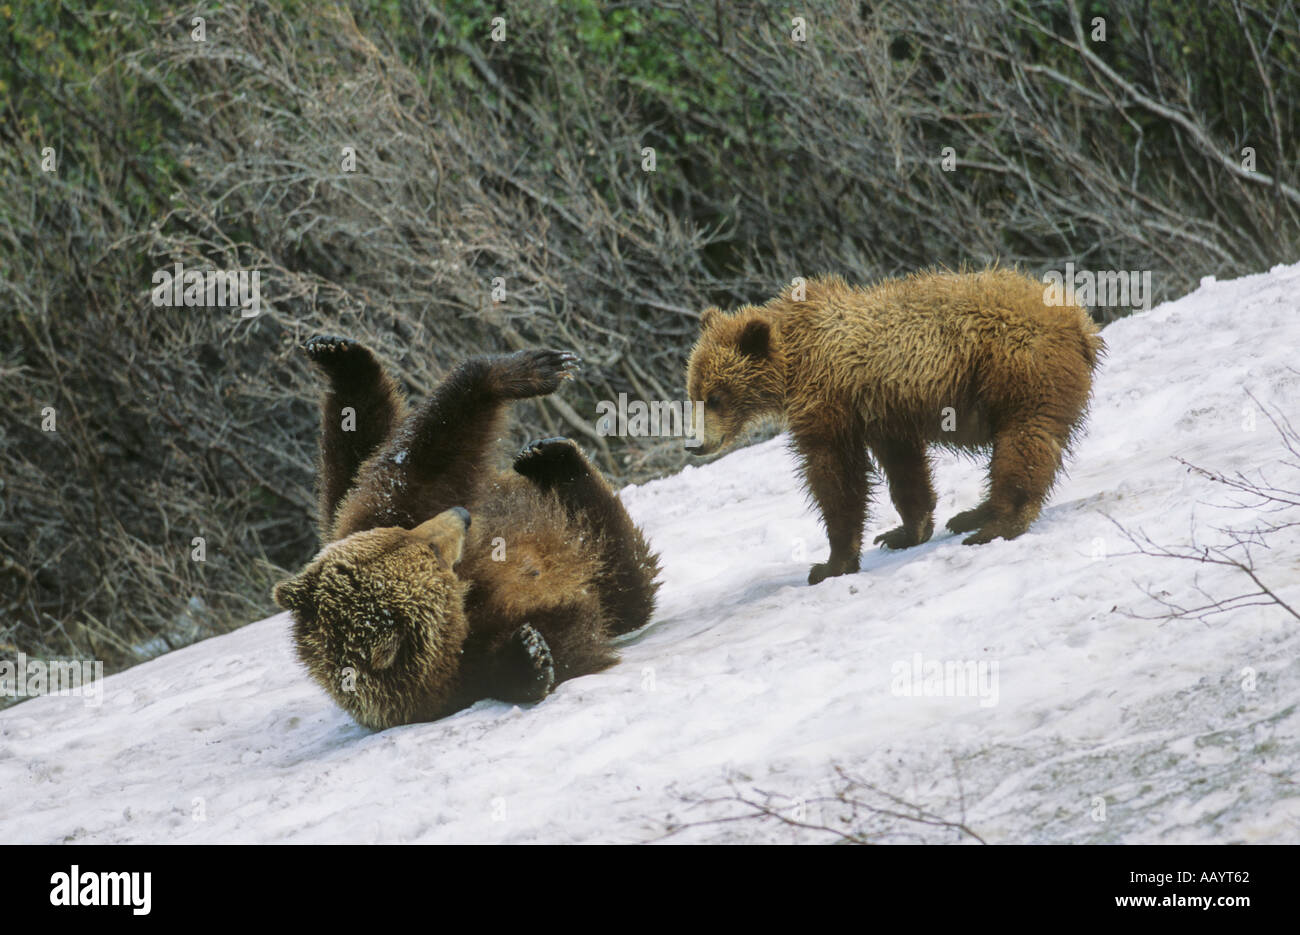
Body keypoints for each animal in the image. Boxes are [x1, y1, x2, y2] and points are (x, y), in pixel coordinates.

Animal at [273, 338, 660, 733]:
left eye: (407, 535)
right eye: (432, 550)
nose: (461, 515)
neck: (466, 596)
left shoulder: (389, 511)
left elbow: (424, 459)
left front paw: (525, 368)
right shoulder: (457, 674)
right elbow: (564, 638)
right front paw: (529, 655)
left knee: (358, 450)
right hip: (599, 558)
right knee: (626, 579)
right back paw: (557, 462)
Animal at [686, 266, 1102, 582]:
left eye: (716, 396)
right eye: (693, 391)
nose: (694, 444)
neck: (793, 362)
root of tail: (1079, 320)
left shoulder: (830, 401)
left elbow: (835, 476)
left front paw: (830, 563)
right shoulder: (883, 411)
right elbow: (905, 468)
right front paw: (903, 531)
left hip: (1016, 366)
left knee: (1025, 438)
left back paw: (997, 524)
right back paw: (973, 514)